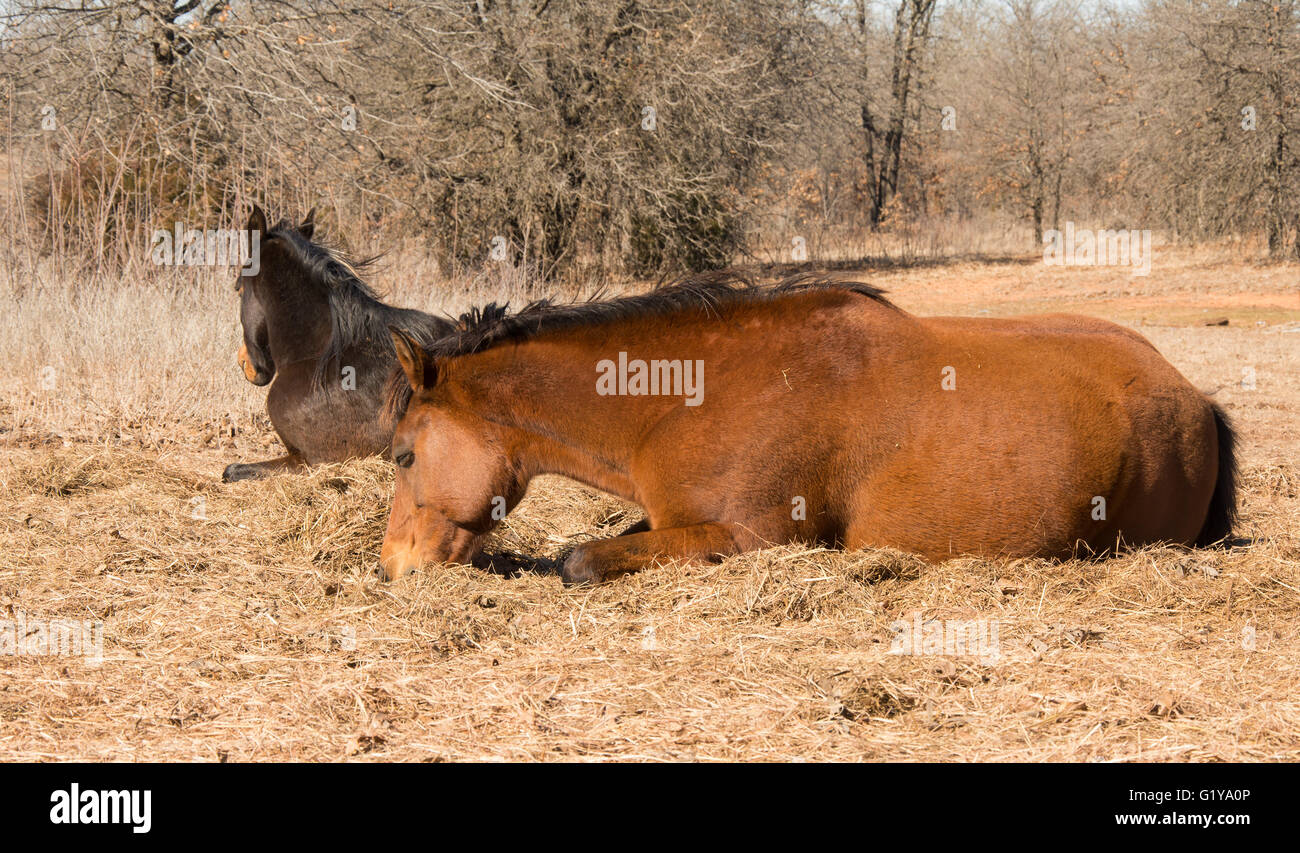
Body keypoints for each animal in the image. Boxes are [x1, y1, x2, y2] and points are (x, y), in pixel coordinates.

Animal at [376, 271, 1237, 584]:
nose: (392, 567)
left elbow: (580, 559)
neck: (685, 399)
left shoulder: (749, 538)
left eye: (405, 454)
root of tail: (1190, 392)